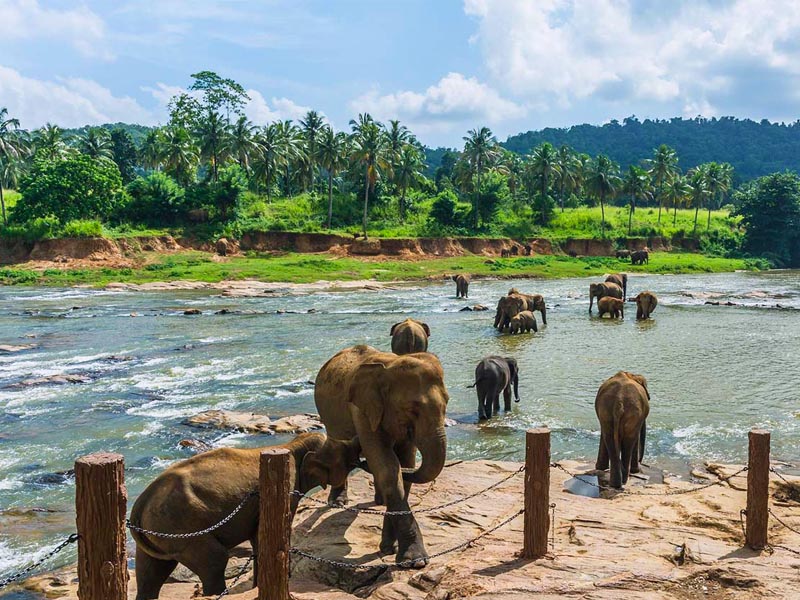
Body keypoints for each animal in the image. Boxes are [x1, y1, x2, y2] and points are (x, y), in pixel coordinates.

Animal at [129, 433, 360, 599]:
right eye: (347, 459)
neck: (294, 444)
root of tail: (139, 505)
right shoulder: (288, 488)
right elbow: (266, 535)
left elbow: (258, 539)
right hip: (183, 529)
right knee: (215, 560)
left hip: (160, 533)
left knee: (149, 573)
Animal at [315, 345, 449, 567]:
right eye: (412, 409)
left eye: (447, 404)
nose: (359, 457)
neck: (390, 364)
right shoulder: (361, 410)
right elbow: (389, 468)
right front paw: (414, 561)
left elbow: (404, 465)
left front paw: (388, 548)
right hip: (328, 416)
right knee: (337, 446)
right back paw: (337, 502)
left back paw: (380, 501)